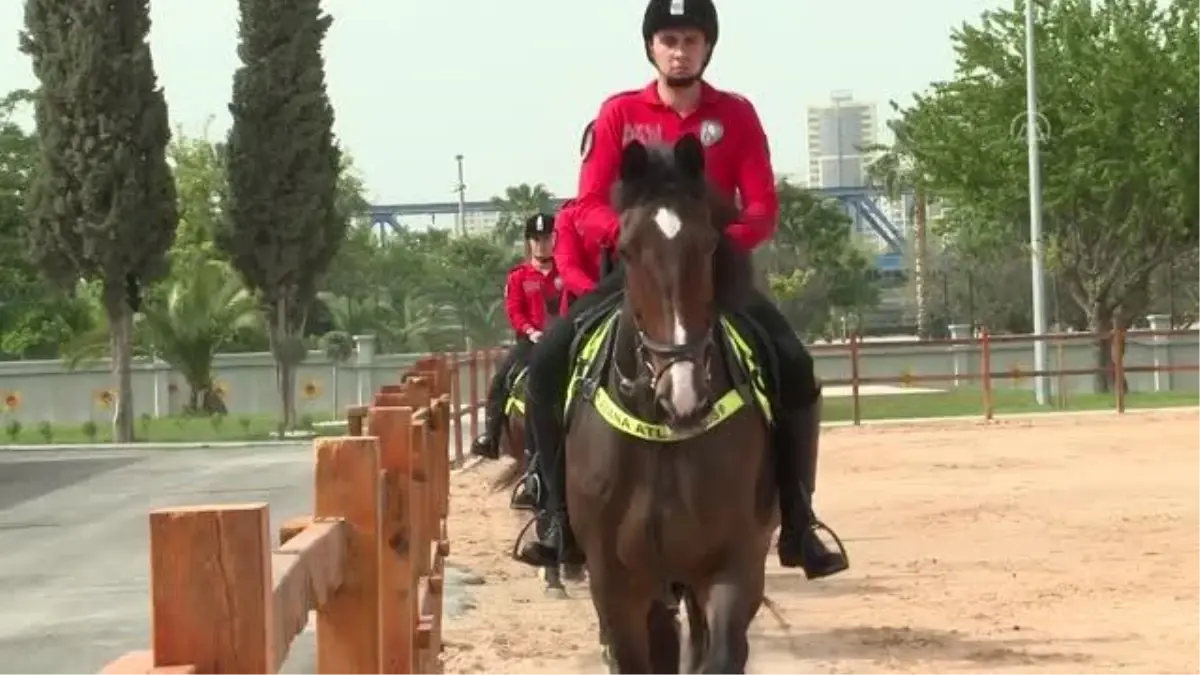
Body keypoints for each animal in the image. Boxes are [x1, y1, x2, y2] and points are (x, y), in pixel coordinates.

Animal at [564, 133, 772, 667]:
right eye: (627, 250)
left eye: (710, 243)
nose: (684, 395)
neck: (660, 437)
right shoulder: (616, 586)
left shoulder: (733, 566)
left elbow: (721, 654)